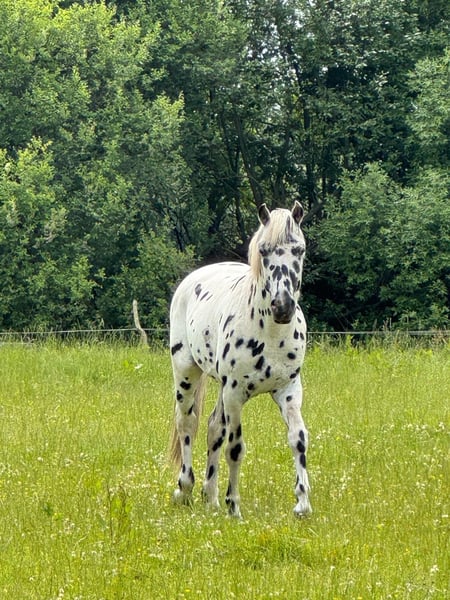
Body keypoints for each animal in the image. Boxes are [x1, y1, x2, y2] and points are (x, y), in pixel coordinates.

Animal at [169, 201, 311, 518]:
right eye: (264, 251)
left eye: (299, 250)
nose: (282, 307)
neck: (270, 333)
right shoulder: (235, 393)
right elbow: (235, 448)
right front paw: (234, 507)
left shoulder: (289, 390)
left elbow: (298, 439)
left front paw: (303, 504)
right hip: (186, 372)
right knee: (187, 423)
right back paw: (185, 489)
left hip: (221, 388)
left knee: (213, 428)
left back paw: (209, 497)